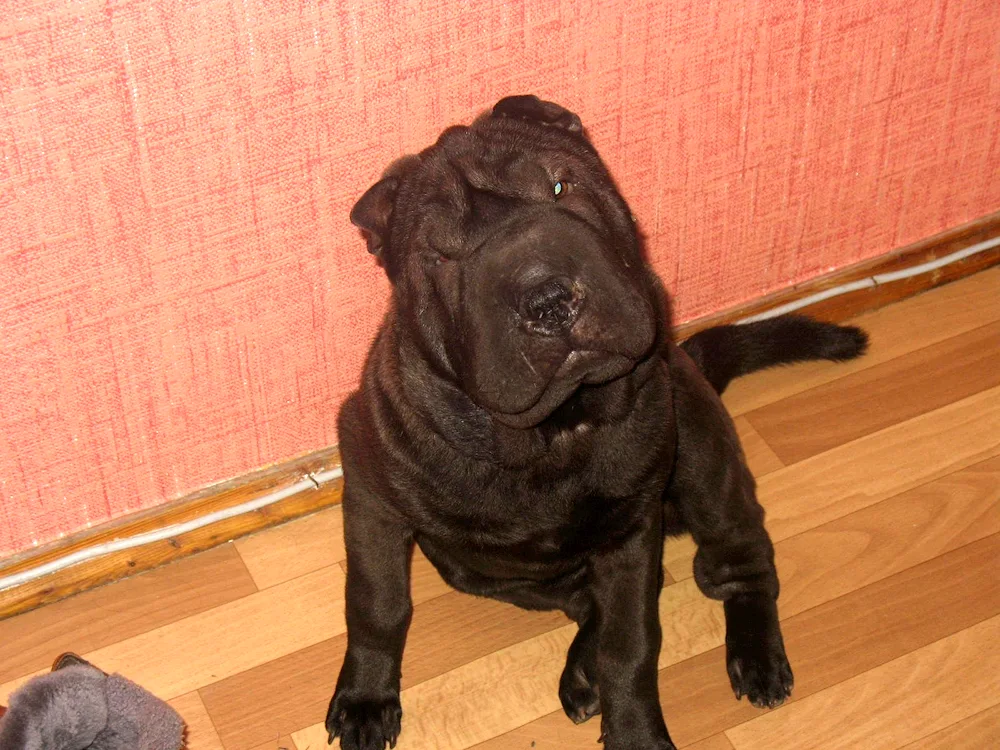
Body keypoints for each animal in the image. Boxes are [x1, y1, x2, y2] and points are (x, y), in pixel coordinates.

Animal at [328, 95, 868, 750]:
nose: (547, 300)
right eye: (440, 255)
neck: (554, 433)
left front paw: (636, 732)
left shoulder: (630, 531)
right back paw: (584, 666)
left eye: (561, 187)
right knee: (586, 600)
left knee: (740, 557)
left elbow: (631, 645)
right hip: (471, 568)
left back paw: (757, 657)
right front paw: (365, 701)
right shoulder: (372, 497)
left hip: (703, 458)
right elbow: (377, 604)